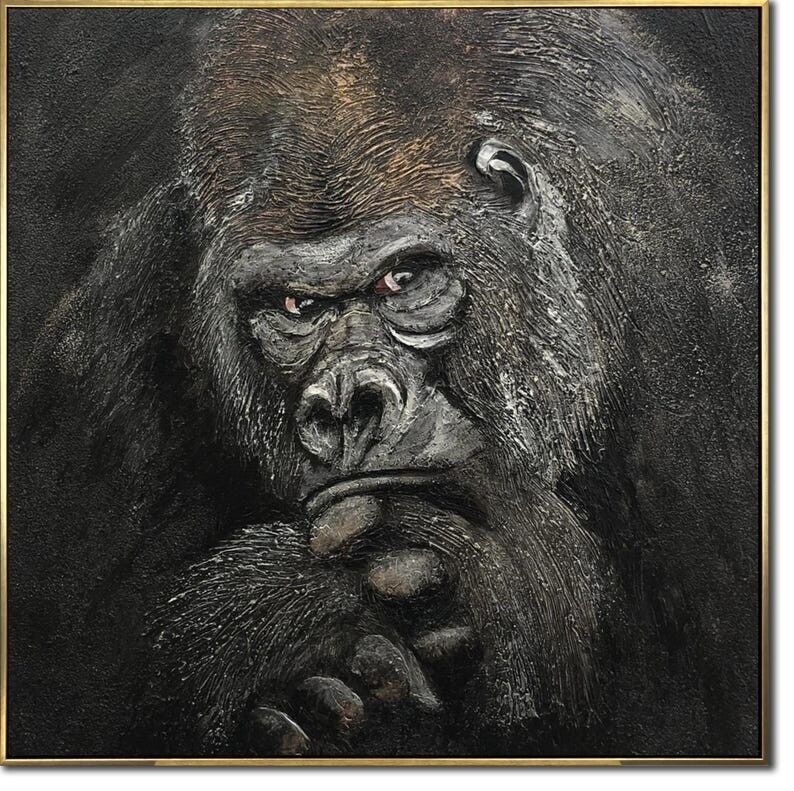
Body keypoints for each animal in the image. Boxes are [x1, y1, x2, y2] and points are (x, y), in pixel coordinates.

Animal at [7, 7, 760, 758]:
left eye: (403, 279)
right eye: (295, 306)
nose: (346, 404)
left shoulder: (700, 322)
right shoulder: (116, 324)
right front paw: (277, 616)